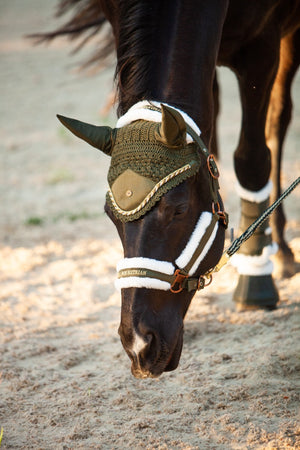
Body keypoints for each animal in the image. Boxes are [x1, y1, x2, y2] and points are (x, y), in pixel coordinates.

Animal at [35, 1, 300, 378]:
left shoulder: (262, 45)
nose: (138, 345)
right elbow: (210, 141)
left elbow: (251, 156)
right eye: (110, 215)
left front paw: (256, 282)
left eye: (178, 208)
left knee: (278, 121)